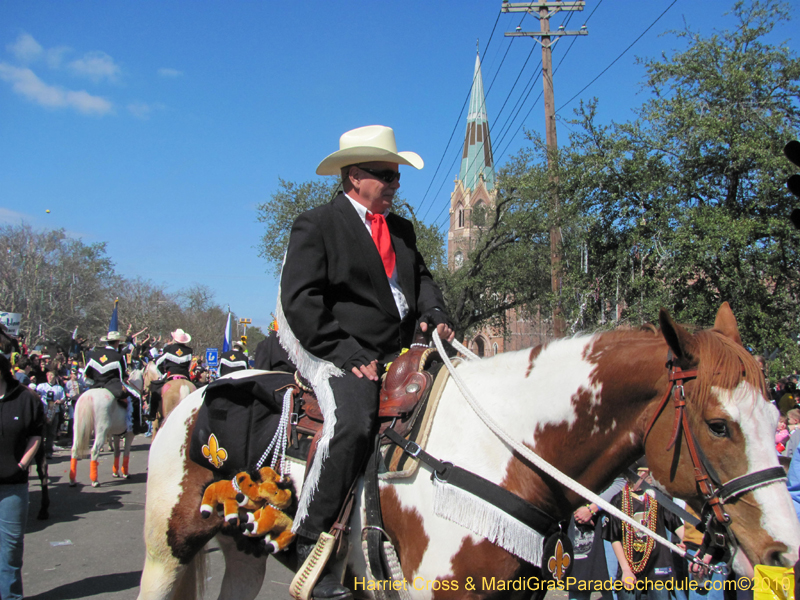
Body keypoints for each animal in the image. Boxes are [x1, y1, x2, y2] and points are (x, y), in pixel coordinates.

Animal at [136, 308, 800, 596]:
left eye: (776, 420)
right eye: (718, 426)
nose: (783, 550)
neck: (504, 450)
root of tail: (196, 397)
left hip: (243, 551)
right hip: (167, 553)